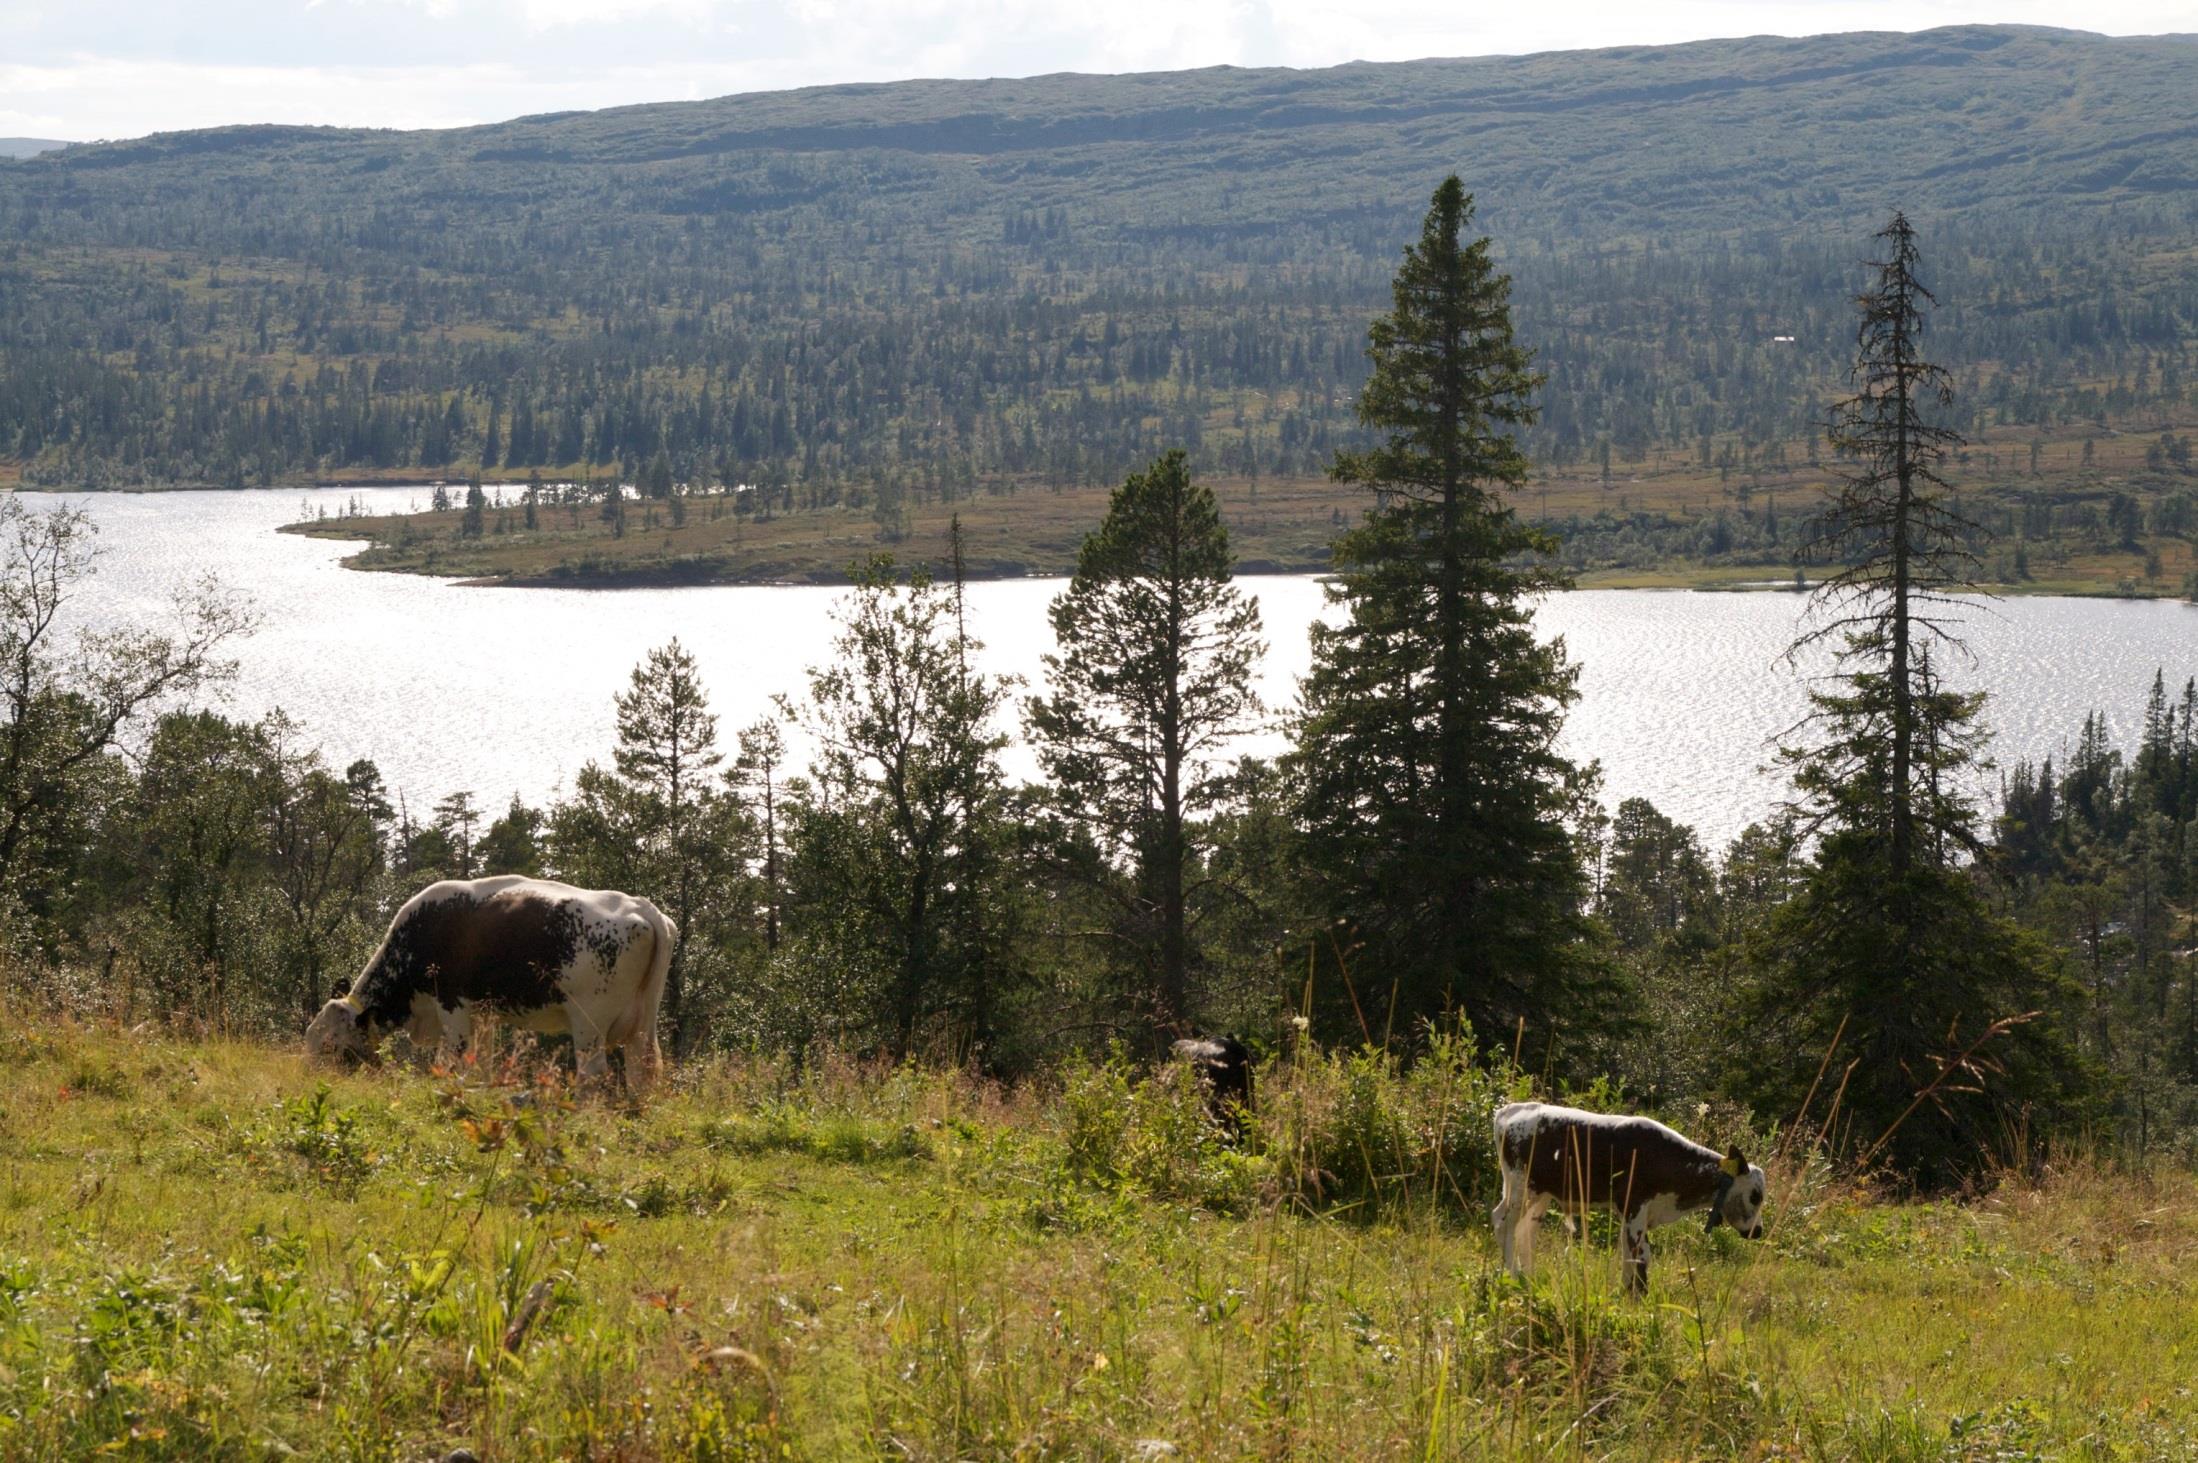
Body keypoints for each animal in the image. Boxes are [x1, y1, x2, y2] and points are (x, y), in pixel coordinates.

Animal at [305, 878, 672, 1080]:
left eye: (331, 1046)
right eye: (309, 1037)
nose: (310, 1077)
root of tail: (643, 907)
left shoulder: (452, 1005)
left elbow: (452, 1059)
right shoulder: (484, 1014)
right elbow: (481, 1062)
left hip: (589, 1022)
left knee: (592, 1075)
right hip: (643, 1023)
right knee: (642, 1071)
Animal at [1485, 1093, 1758, 1291]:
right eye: (1755, 1195)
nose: (1758, 1231)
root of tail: (1510, 1110)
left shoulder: (1634, 1214)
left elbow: (1629, 1253)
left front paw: (1627, 1292)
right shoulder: (1634, 1208)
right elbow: (1640, 1255)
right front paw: (1638, 1299)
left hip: (1539, 1195)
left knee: (1525, 1231)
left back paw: (1528, 1277)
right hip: (1520, 1187)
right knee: (1503, 1223)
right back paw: (1513, 1276)